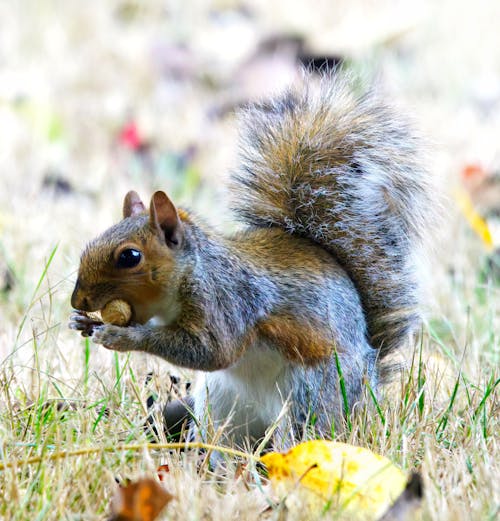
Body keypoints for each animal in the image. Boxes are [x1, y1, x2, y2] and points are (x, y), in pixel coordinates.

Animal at [68, 72, 436, 446]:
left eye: (130, 256)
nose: (78, 300)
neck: (190, 274)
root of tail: (367, 384)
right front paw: (84, 323)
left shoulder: (228, 301)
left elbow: (214, 350)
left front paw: (121, 337)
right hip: (221, 405)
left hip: (309, 397)